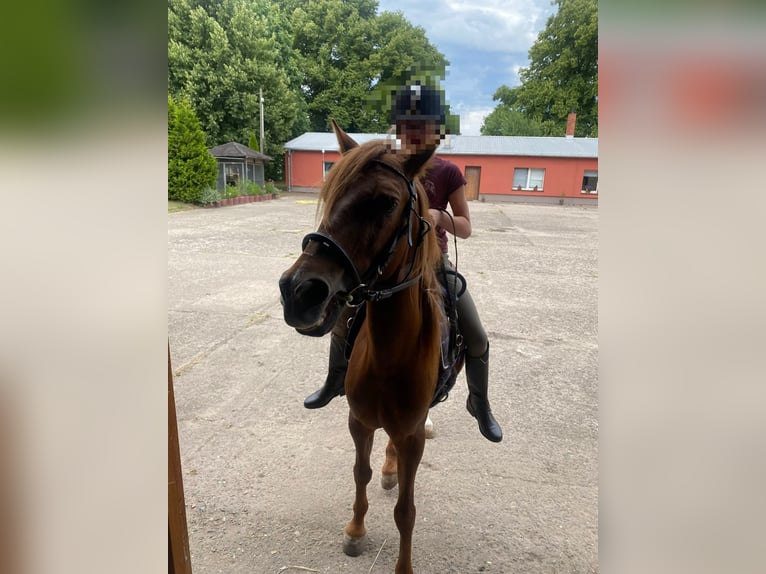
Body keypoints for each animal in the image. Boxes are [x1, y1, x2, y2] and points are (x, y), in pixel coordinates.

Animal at [279, 120, 445, 574]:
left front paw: (403, 566)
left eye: (386, 202)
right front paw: (355, 531)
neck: (390, 355)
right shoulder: (360, 421)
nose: (297, 291)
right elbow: (360, 472)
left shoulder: (412, 435)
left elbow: (406, 509)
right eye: (331, 191)